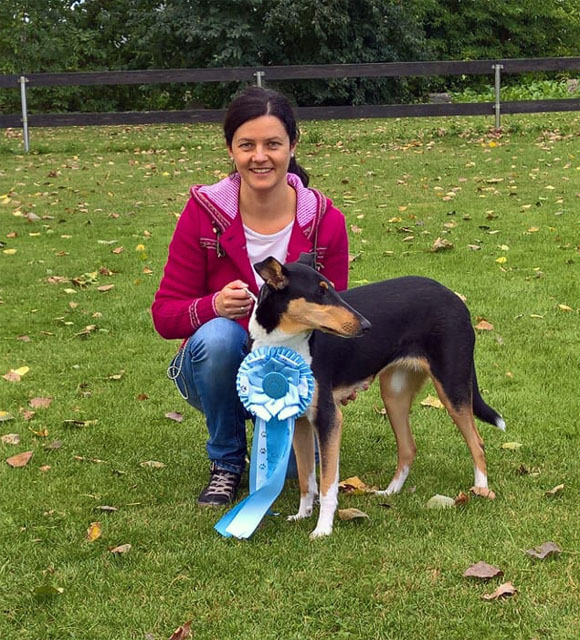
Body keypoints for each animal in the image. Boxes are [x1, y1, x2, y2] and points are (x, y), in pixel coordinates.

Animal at [249, 254, 504, 539]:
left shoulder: (329, 418)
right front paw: (301, 515)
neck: (287, 344)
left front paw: (323, 529)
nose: (366, 325)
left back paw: (481, 489)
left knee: (477, 442)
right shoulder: (301, 420)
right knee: (408, 447)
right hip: (394, 394)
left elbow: (327, 484)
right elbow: (307, 478)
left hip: (452, 387)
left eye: (332, 288)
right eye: (320, 292)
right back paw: (390, 492)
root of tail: (453, 296)